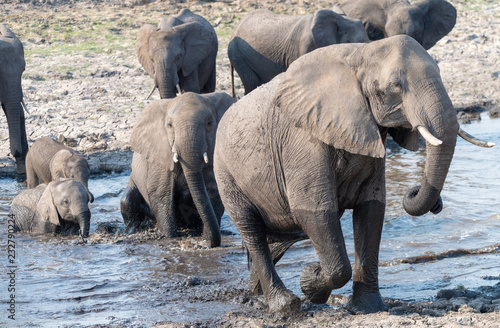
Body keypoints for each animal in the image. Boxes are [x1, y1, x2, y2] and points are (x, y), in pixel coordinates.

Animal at [121, 91, 236, 247]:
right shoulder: (161, 158)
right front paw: (170, 238)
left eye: (209, 123)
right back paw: (136, 230)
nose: (209, 243)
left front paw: (205, 237)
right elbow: (161, 195)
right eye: (169, 125)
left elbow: (215, 193)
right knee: (126, 199)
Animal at [216, 36, 492, 312]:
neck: (361, 53)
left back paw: (255, 298)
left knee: (273, 241)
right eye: (395, 86)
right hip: (226, 176)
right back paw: (284, 306)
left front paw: (366, 308)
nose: (424, 196)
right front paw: (310, 281)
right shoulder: (302, 141)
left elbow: (371, 208)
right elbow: (314, 211)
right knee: (252, 232)